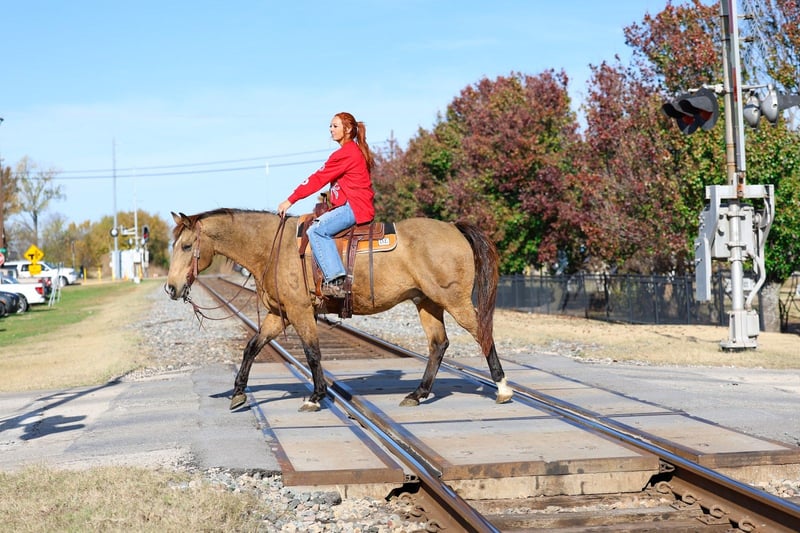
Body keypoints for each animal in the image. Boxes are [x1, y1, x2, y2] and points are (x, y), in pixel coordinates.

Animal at [165, 208, 514, 412]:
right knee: (438, 344)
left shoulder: (301, 312)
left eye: (186, 246)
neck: (273, 248)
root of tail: (454, 228)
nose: (171, 288)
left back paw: (503, 388)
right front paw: (238, 393)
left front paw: (316, 396)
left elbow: (312, 353)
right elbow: (252, 347)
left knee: (483, 333)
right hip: (426, 302)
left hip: (454, 301)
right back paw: (417, 394)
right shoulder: (280, 315)